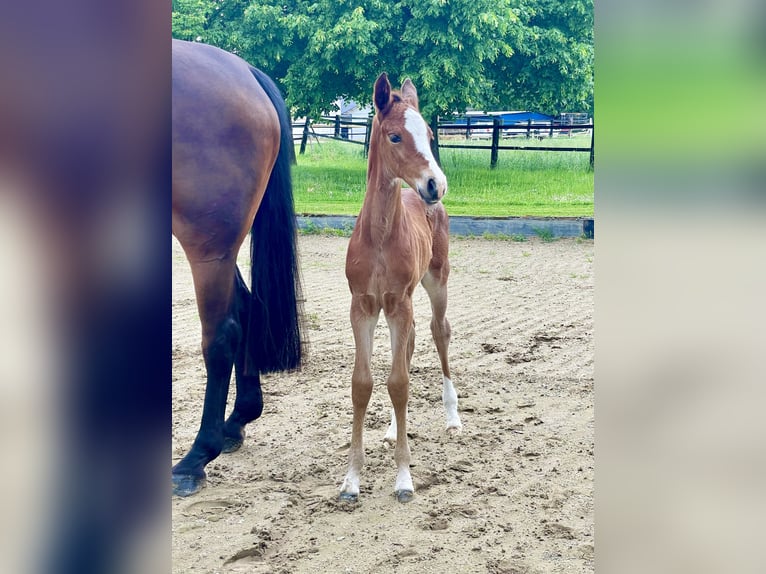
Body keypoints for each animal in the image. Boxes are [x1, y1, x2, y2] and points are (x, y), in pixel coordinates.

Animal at [342, 73, 462, 504]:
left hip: (436, 281)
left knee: (438, 332)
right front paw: (351, 479)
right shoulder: (363, 306)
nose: (436, 184)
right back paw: (396, 428)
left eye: (429, 134)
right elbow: (364, 384)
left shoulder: (398, 303)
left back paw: (452, 416)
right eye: (395, 136)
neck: (379, 237)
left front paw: (404, 479)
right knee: (408, 346)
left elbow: (398, 384)